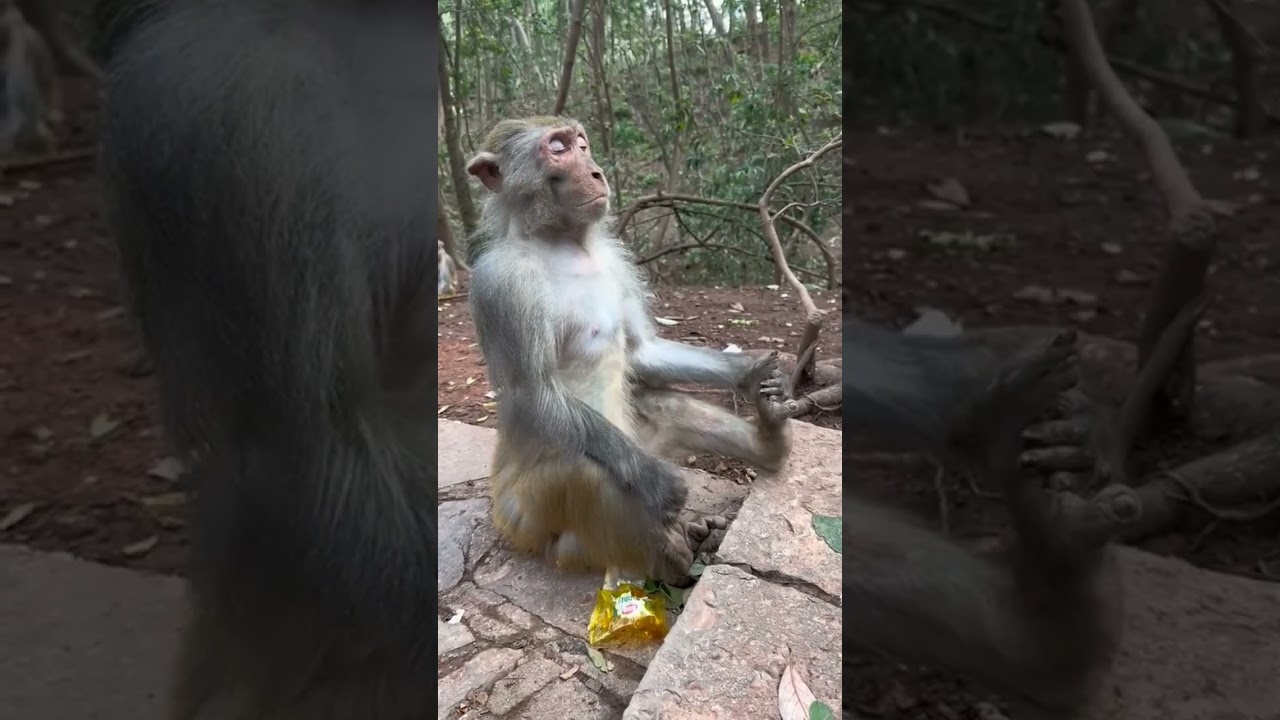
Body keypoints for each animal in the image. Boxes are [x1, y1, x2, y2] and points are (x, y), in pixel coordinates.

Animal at [466, 116, 792, 587]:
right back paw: (669, 556)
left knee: (665, 405)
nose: (596, 171)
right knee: (585, 470)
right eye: (558, 148)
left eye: (582, 143)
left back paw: (766, 446)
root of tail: (501, 513)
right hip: (527, 518)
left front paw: (751, 372)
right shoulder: (501, 281)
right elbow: (535, 393)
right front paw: (658, 482)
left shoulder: (616, 260)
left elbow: (642, 351)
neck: (561, 243)